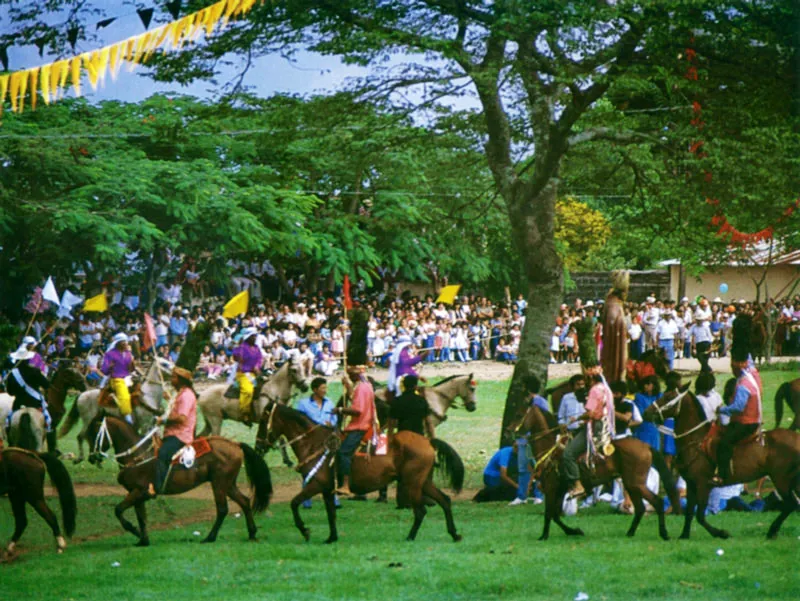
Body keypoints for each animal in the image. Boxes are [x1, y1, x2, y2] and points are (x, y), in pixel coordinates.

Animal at [85, 412, 272, 544]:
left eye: (94, 432)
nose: (92, 458)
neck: (137, 456)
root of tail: (235, 444)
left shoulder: (140, 491)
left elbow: (118, 510)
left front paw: (134, 530)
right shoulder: (137, 494)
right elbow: (141, 517)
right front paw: (143, 540)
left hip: (219, 483)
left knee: (222, 509)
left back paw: (209, 537)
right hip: (228, 483)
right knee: (244, 502)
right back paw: (252, 533)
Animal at [256, 404, 462, 544]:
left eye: (263, 422)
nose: (258, 446)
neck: (314, 443)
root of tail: (428, 441)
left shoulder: (316, 484)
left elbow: (294, 503)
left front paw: (305, 531)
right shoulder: (327, 490)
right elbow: (331, 514)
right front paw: (331, 537)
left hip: (413, 483)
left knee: (420, 511)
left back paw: (410, 536)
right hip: (424, 482)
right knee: (444, 501)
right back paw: (454, 533)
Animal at [516, 404, 680, 540]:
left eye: (521, 414)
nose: (512, 432)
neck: (551, 450)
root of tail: (646, 446)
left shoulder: (551, 488)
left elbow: (549, 514)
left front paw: (544, 536)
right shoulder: (560, 489)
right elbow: (555, 515)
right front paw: (574, 531)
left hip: (636, 484)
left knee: (657, 502)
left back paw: (664, 533)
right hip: (631, 484)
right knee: (640, 508)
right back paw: (630, 533)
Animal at [644, 386, 800, 540]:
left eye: (669, 397)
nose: (646, 413)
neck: (696, 441)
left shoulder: (703, 484)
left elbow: (700, 516)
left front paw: (721, 533)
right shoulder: (691, 484)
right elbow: (689, 512)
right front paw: (684, 535)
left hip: (781, 480)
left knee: (790, 504)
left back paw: (772, 531)